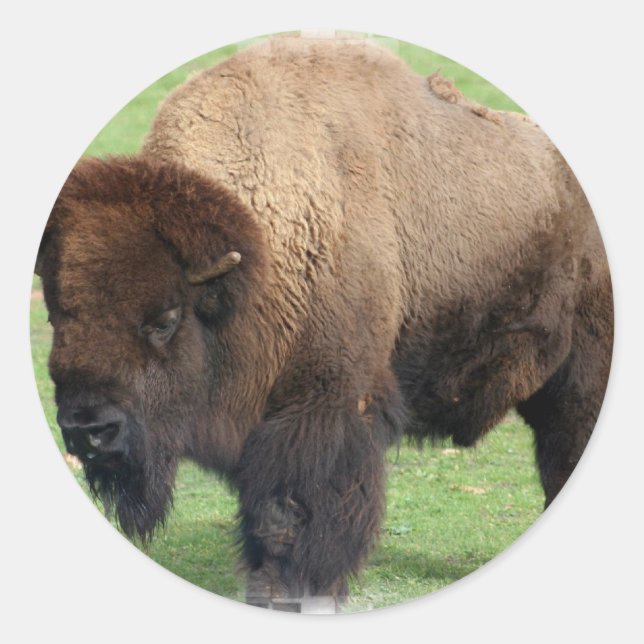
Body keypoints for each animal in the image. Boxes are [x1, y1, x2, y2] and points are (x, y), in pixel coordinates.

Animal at [35, 36, 613, 611]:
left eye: (165, 319)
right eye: (57, 312)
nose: (89, 430)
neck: (259, 254)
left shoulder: (323, 406)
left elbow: (292, 511)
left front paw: (296, 591)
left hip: (582, 376)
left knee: (565, 450)